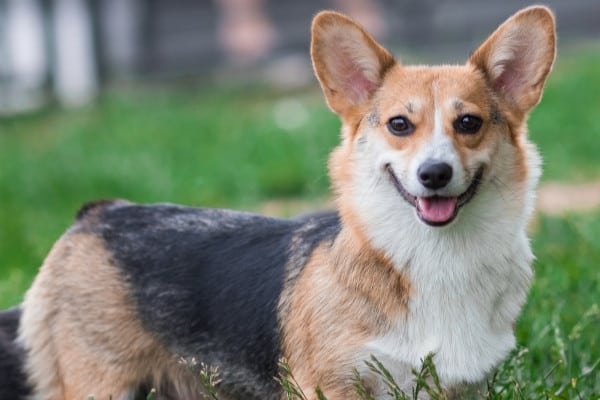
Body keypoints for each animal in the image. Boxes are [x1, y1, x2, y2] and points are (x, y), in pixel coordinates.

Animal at [15, 6, 556, 400]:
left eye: (469, 123)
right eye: (400, 125)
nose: (434, 174)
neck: (436, 255)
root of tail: (101, 211)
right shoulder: (335, 386)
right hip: (101, 385)